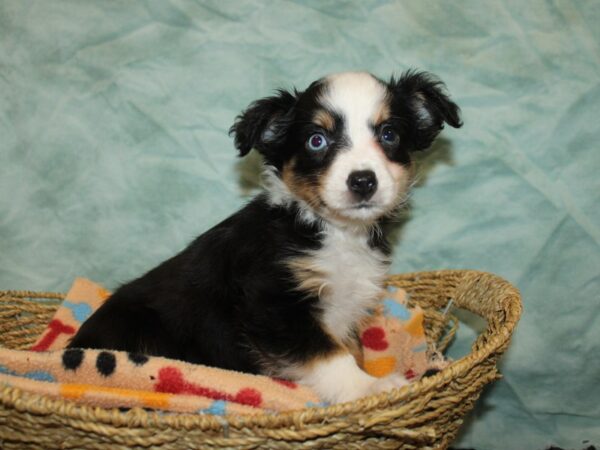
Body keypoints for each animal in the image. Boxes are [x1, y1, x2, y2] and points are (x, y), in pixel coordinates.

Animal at [71, 71, 464, 404]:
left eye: (389, 135)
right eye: (316, 140)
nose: (363, 181)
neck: (331, 231)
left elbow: (352, 348)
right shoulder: (273, 303)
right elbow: (329, 354)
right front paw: (368, 387)